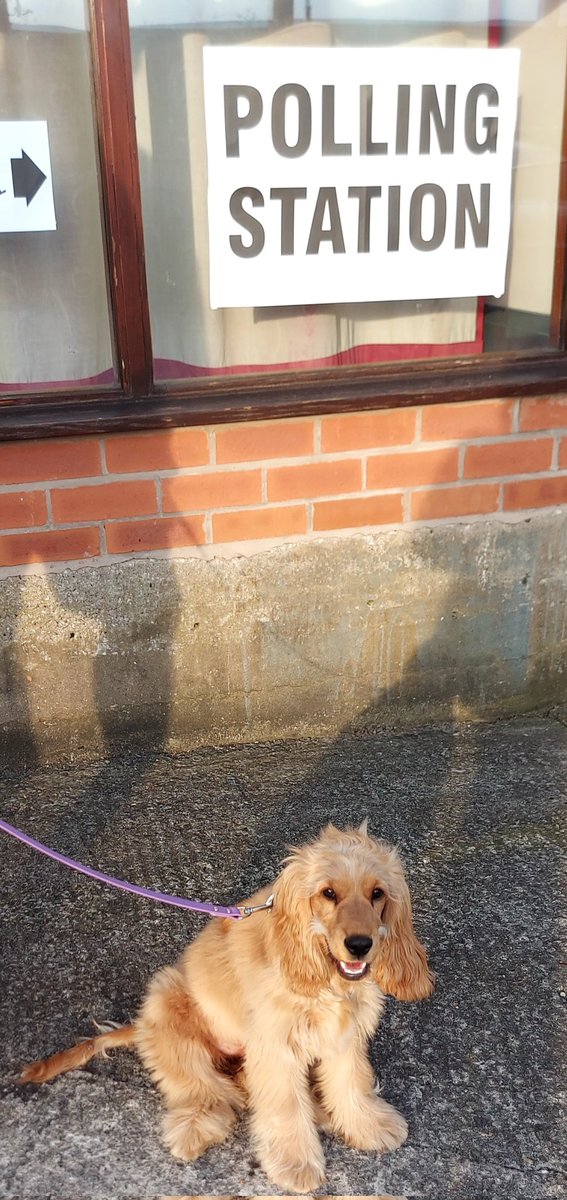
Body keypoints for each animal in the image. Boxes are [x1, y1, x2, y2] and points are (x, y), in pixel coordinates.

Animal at [19, 825, 432, 1190]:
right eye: (328, 893)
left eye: (377, 893)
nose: (360, 945)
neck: (325, 978)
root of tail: (138, 1026)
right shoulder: (274, 1045)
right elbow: (284, 1105)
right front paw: (295, 1165)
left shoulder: (343, 1035)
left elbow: (351, 1082)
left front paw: (368, 1126)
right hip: (167, 996)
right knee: (207, 1091)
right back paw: (199, 1128)